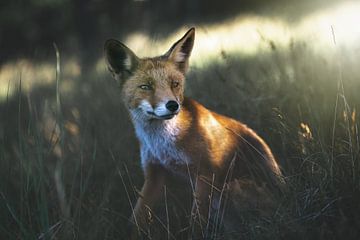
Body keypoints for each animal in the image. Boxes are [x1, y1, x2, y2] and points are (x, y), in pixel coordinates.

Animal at [104, 27, 284, 238]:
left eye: (174, 84)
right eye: (146, 87)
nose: (172, 105)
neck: (163, 146)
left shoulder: (205, 174)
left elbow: (196, 222)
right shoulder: (154, 174)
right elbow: (137, 217)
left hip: (229, 190)